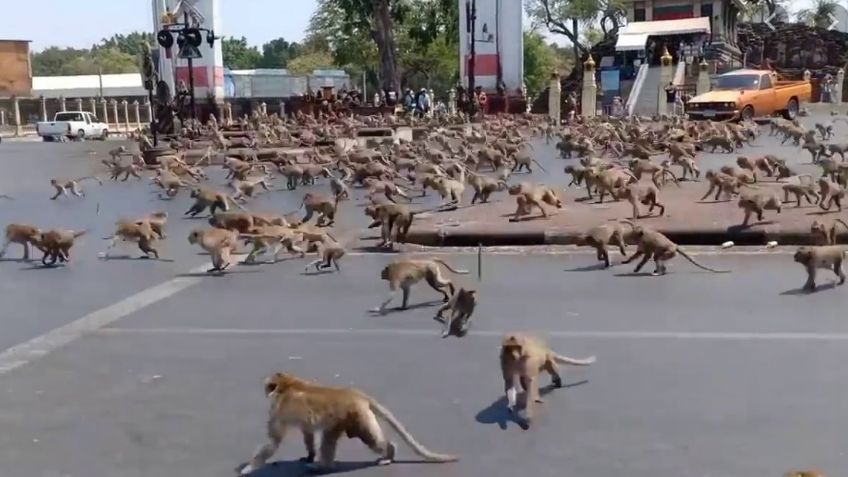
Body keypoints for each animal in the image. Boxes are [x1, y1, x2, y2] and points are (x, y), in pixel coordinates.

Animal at [235, 372, 460, 476]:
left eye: (268, 387)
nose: (265, 390)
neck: (288, 385)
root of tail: (355, 393)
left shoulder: (279, 410)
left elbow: (273, 441)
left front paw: (249, 467)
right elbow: (308, 432)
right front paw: (309, 454)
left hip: (356, 415)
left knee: (367, 437)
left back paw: (388, 452)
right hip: (345, 417)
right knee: (330, 436)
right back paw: (322, 464)